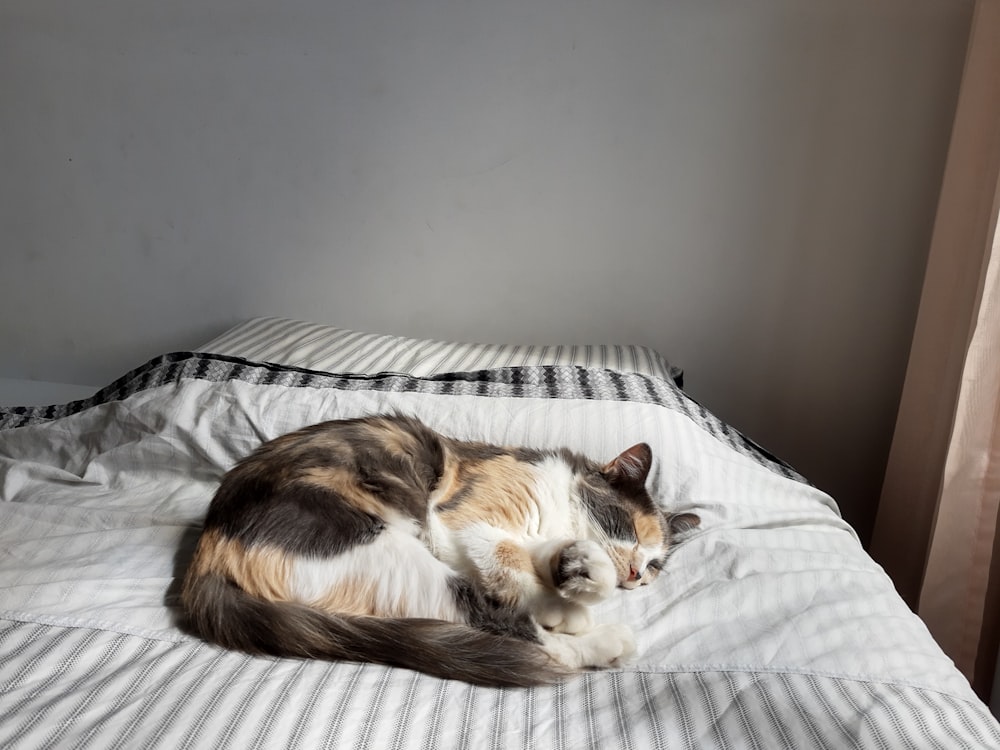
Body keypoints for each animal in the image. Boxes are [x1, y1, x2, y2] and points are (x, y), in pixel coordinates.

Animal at [180, 414, 700, 692]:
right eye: (628, 527)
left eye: (655, 566)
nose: (634, 573)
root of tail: (205, 560)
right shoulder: (460, 521)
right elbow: (508, 558)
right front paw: (563, 606)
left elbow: (541, 553)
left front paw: (577, 575)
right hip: (381, 547)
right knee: (506, 626)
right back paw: (604, 641)